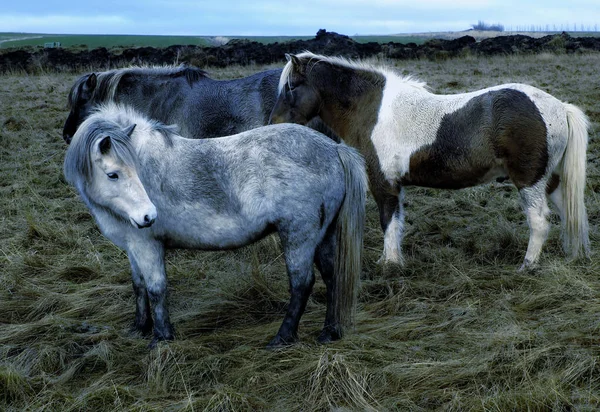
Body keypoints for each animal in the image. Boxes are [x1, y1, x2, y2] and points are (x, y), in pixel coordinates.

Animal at [63, 103, 368, 348]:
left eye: (132, 170)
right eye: (113, 174)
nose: (149, 216)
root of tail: (334, 149)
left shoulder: (146, 245)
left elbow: (156, 289)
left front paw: (161, 339)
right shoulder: (133, 247)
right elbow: (138, 286)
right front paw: (139, 328)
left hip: (298, 236)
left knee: (302, 284)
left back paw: (281, 338)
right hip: (323, 236)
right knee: (332, 276)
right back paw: (329, 332)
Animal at [270, 52, 592, 270]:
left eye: (291, 87)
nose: (272, 124)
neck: (371, 110)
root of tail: (560, 107)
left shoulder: (382, 183)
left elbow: (388, 221)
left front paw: (389, 264)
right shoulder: (395, 185)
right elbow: (396, 222)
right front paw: (393, 260)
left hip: (529, 181)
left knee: (539, 221)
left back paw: (528, 265)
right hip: (551, 181)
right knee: (569, 214)